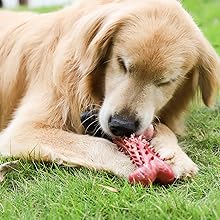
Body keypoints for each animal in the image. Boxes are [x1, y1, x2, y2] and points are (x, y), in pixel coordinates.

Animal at [0, 0, 219, 180]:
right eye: (122, 64)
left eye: (166, 81)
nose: (122, 126)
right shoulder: (23, 131)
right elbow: (96, 144)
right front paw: (129, 162)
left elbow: (163, 128)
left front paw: (175, 155)